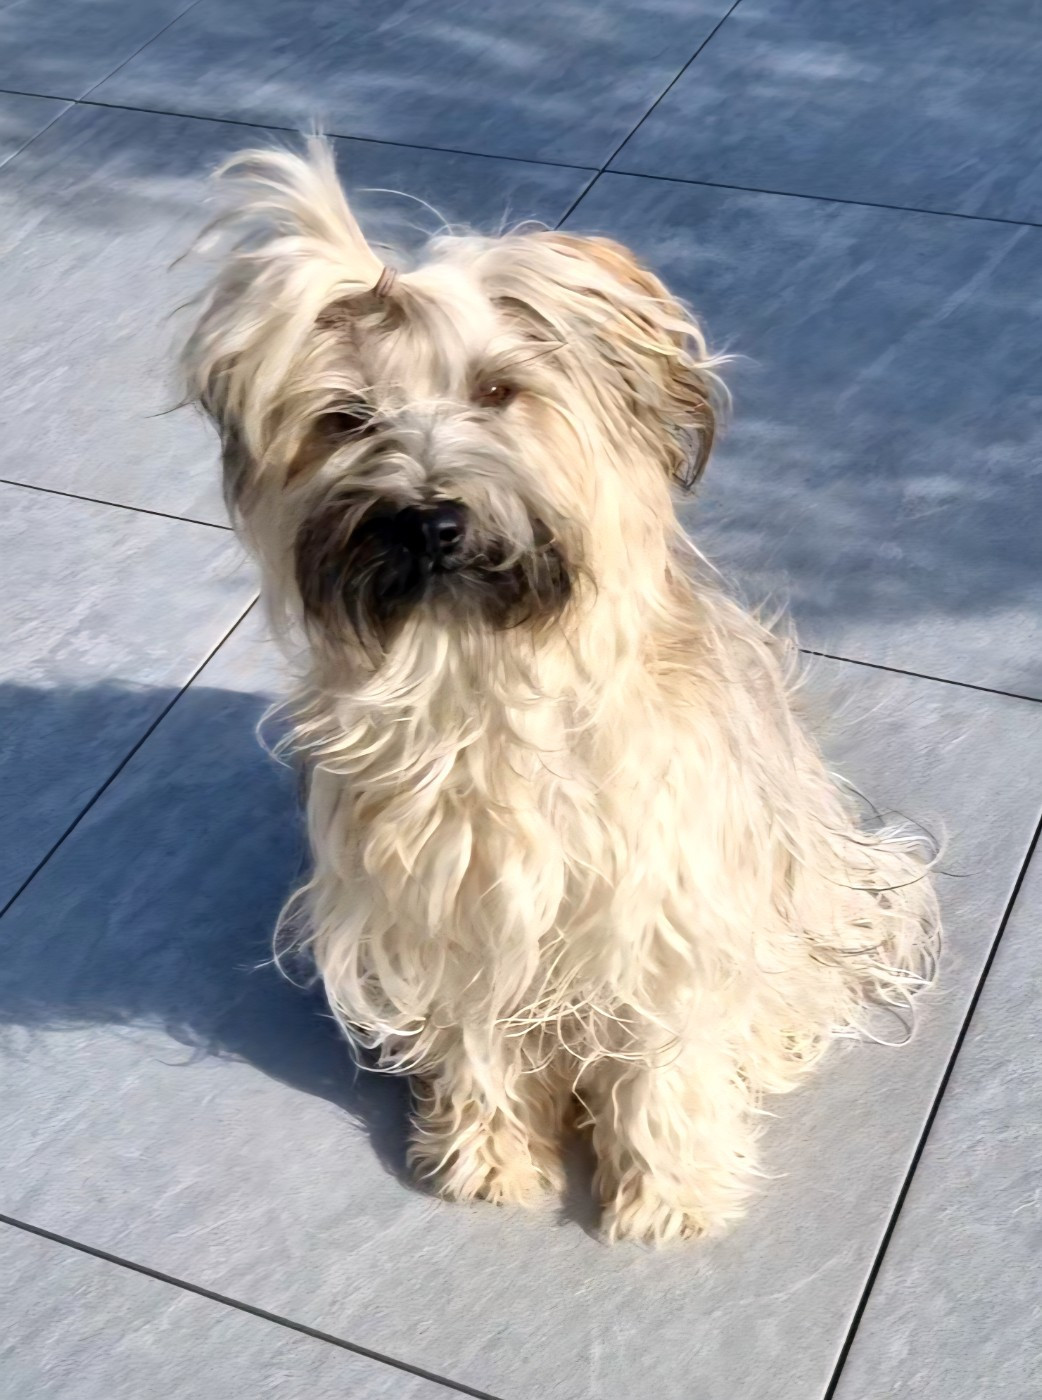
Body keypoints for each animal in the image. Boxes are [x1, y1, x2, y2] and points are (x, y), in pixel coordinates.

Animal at [183, 139, 939, 1244]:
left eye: (498, 390)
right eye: (347, 420)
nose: (427, 519)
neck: (479, 675)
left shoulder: (669, 906)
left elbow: (664, 1047)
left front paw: (668, 1189)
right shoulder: (453, 911)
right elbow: (480, 1036)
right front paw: (492, 1156)